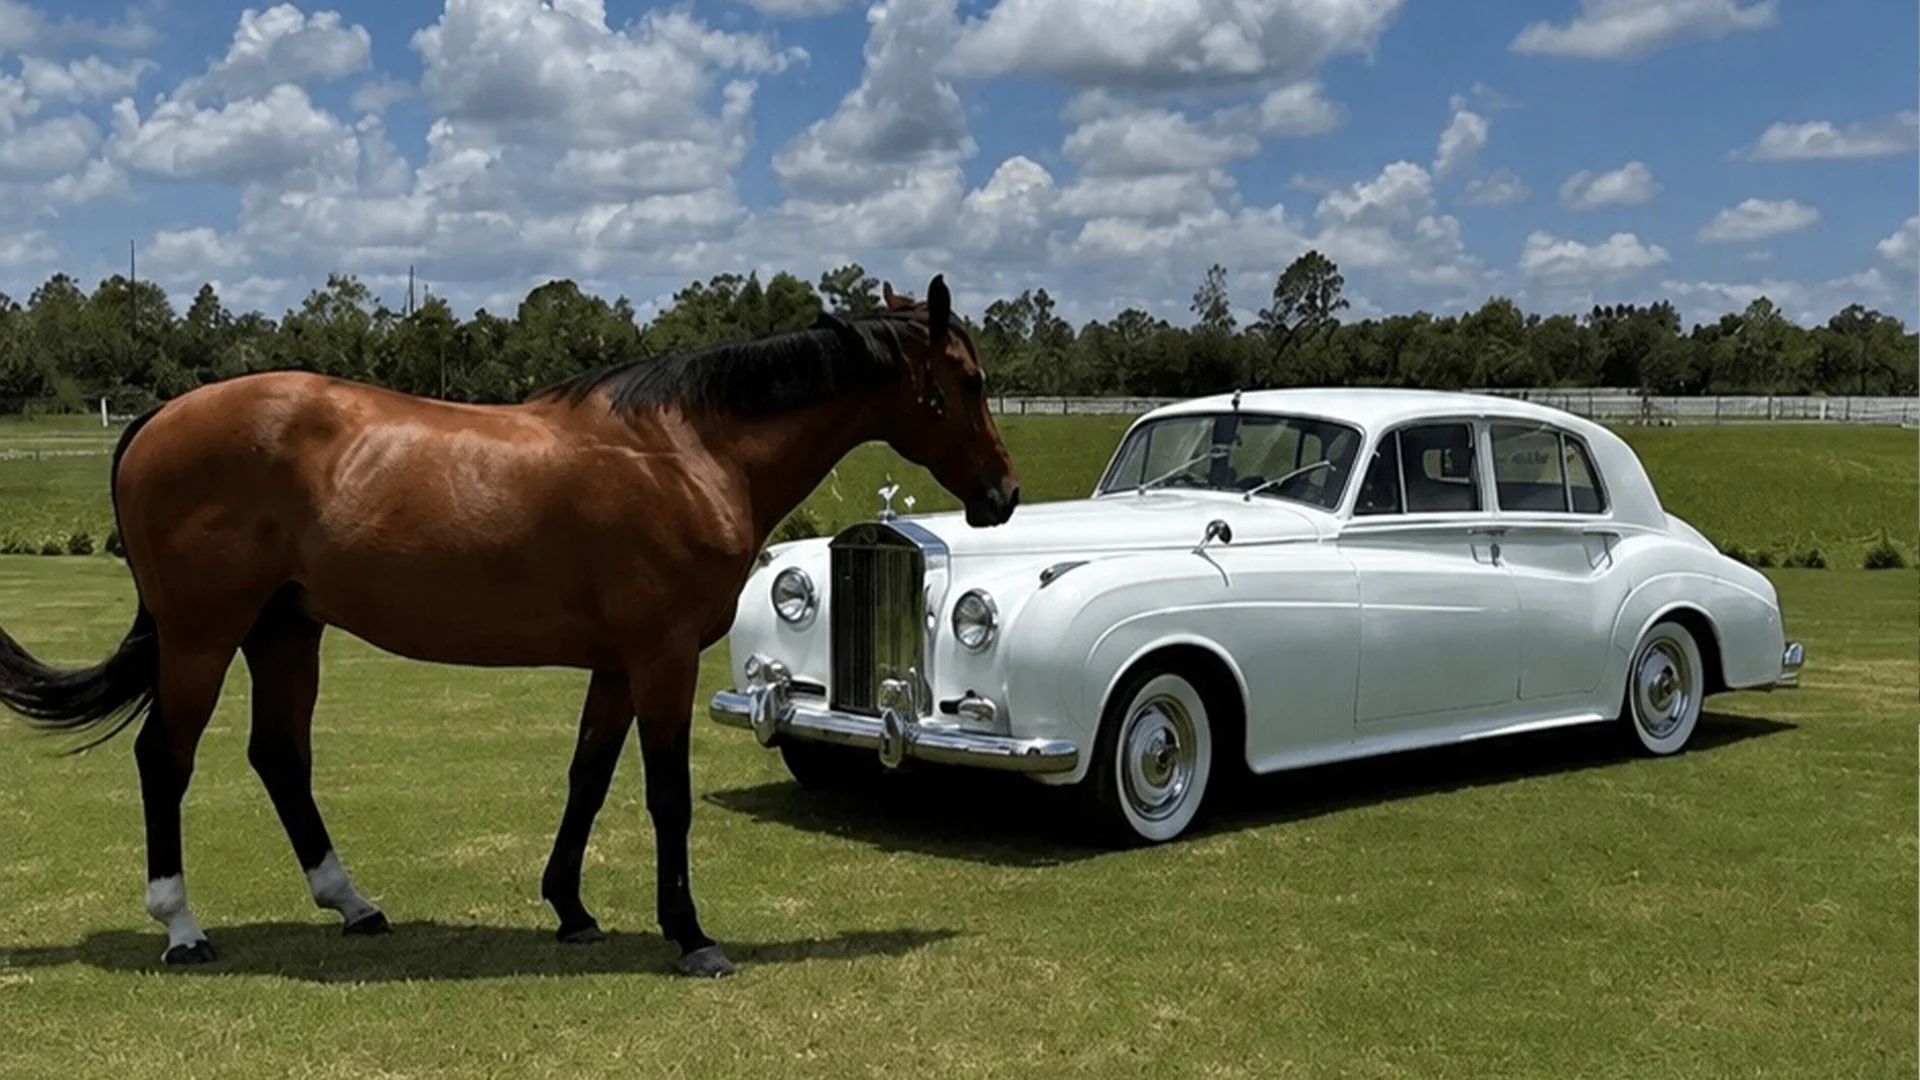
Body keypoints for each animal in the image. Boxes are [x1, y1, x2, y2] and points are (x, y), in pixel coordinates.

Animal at [0, 274, 1020, 978]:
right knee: (165, 760)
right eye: (968, 380)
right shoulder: (660, 660)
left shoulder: (617, 665)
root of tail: (160, 417)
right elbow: (666, 795)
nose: (1002, 496)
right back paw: (182, 927)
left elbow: (587, 779)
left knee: (279, 757)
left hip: (285, 631)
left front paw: (570, 909)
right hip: (203, 635)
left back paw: (353, 904)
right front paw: (691, 935)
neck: (686, 449)